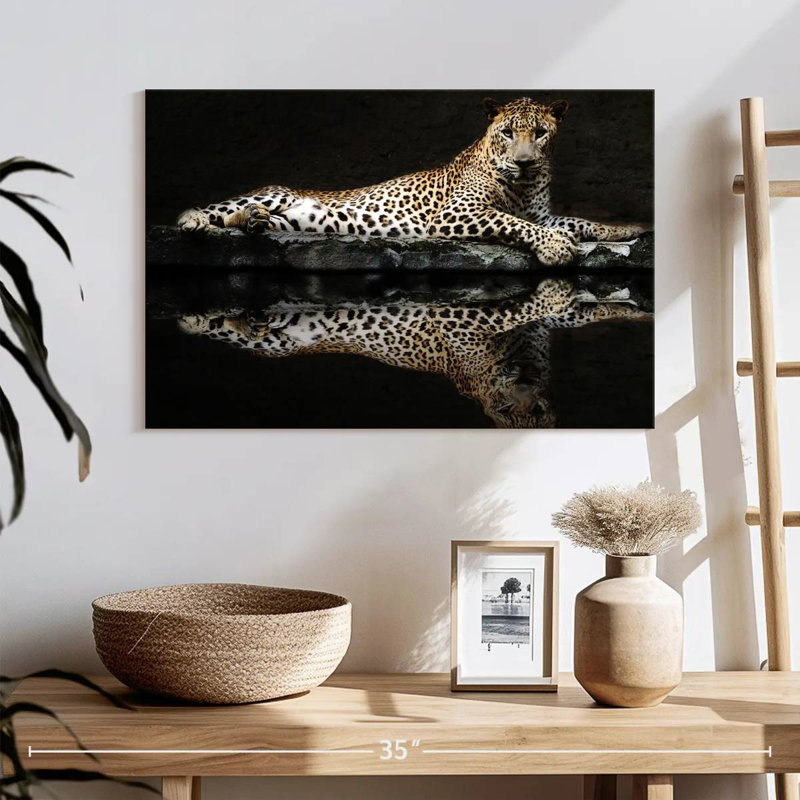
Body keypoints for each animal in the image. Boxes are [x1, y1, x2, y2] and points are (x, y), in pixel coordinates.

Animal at [176, 97, 647, 266]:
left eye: (541, 133)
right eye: (508, 133)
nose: (525, 162)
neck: (523, 185)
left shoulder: (544, 214)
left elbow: (580, 222)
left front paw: (628, 229)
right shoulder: (459, 213)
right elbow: (514, 224)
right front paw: (555, 249)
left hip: (296, 220)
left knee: (248, 219)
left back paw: (254, 222)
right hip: (272, 192)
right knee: (219, 210)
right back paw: (196, 220)